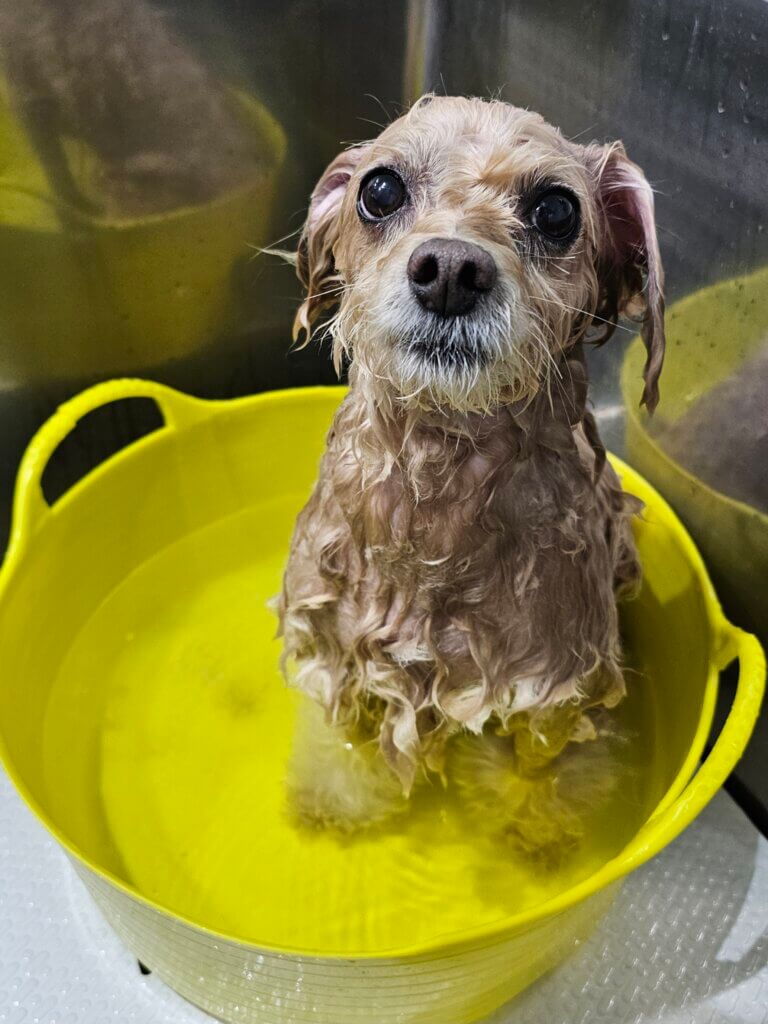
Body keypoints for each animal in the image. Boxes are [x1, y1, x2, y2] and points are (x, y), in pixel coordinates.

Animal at [276, 95, 664, 855]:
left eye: (555, 209)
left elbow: (541, 764)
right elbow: (344, 735)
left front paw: (535, 827)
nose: (452, 268)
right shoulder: (335, 647)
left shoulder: (552, 683)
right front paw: (336, 797)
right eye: (380, 190)